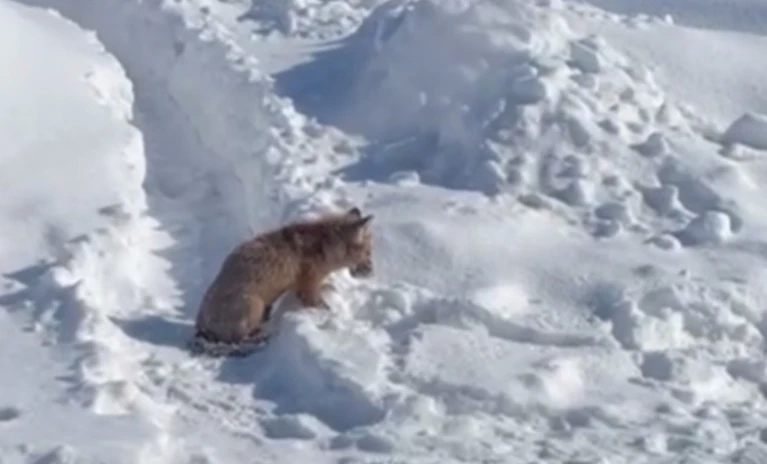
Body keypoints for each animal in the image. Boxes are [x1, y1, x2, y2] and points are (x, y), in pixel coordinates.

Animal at [188, 206, 374, 357]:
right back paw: (259, 337)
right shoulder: (308, 284)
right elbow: (318, 303)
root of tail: (201, 327)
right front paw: (325, 313)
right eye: (367, 252)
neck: (322, 247)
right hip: (254, 304)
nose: (371, 271)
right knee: (238, 340)